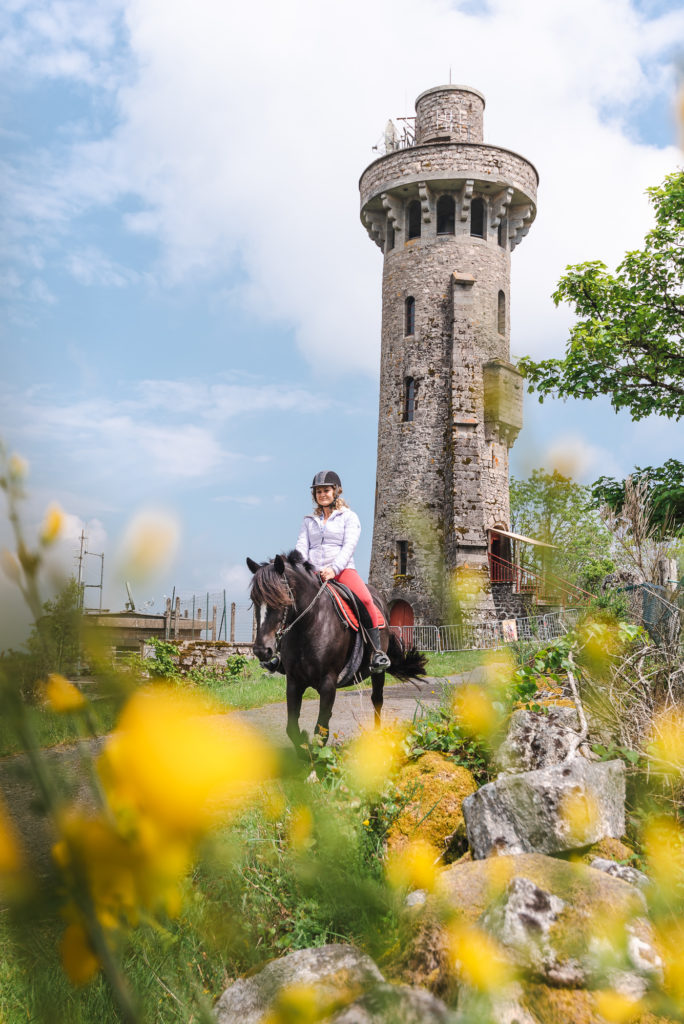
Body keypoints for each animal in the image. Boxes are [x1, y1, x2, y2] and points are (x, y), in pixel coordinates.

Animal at [245, 552, 428, 753]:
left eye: (281, 600)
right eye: (254, 600)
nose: (262, 650)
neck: (309, 625)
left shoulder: (328, 682)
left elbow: (320, 732)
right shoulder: (294, 682)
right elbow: (292, 728)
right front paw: (303, 746)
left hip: (378, 672)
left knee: (377, 700)